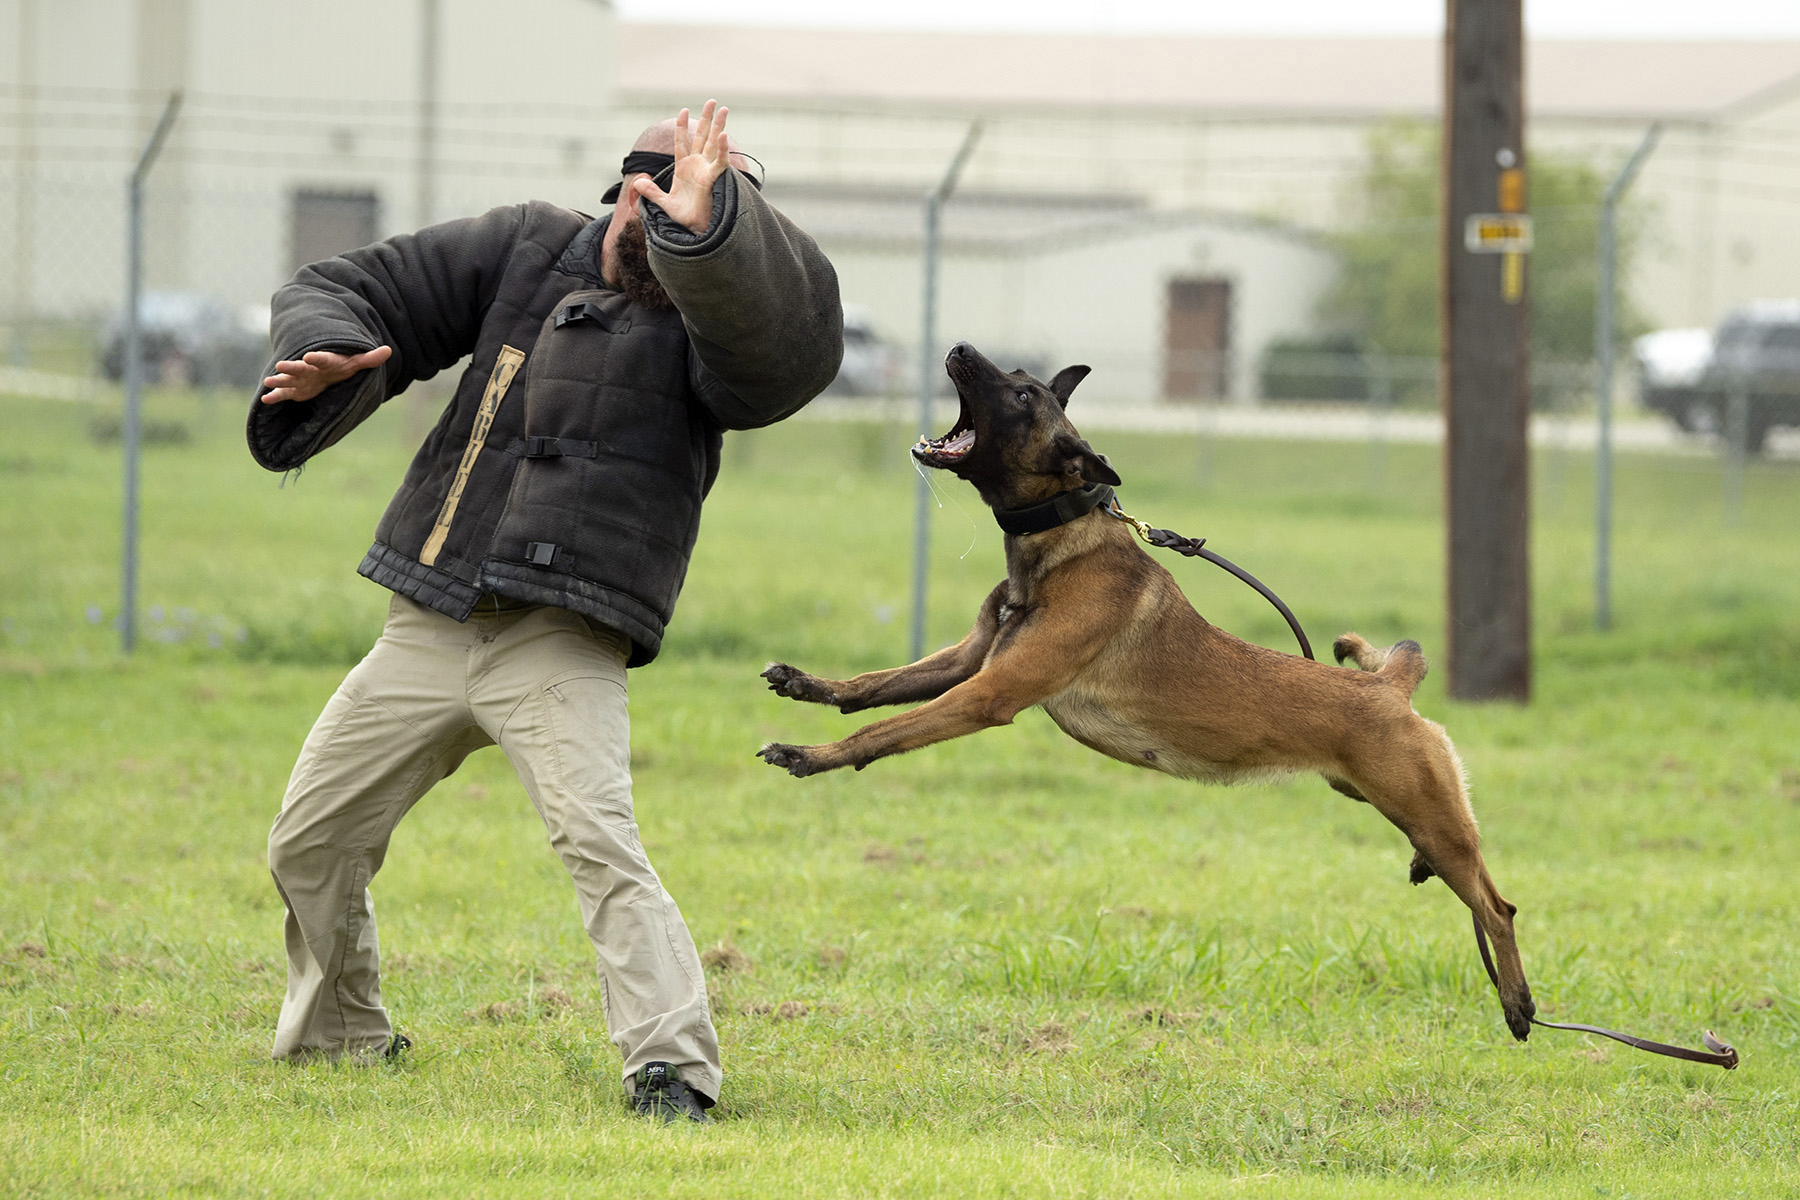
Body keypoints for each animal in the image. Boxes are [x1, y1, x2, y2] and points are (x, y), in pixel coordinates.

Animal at [756, 340, 1533, 1043]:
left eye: (1022, 394)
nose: (959, 348)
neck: (1062, 545)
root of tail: (1390, 688)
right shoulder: (969, 660)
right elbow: (873, 688)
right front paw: (806, 684)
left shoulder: (987, 695)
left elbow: (881, 732)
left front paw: (809, 755)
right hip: (1393, 801)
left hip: (1429, 814)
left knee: (1497, 907)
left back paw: (1518, 1004)